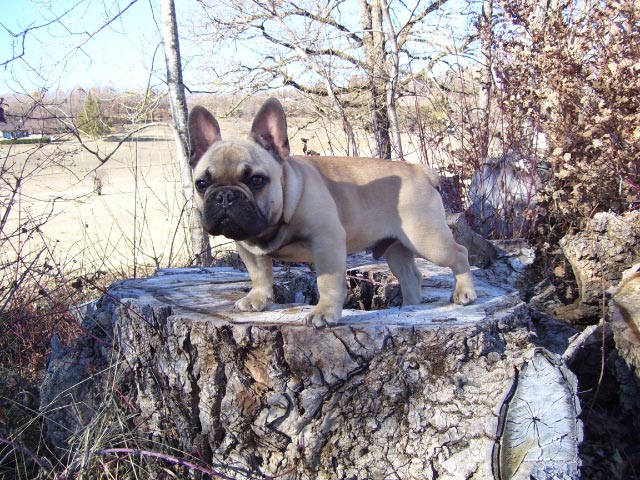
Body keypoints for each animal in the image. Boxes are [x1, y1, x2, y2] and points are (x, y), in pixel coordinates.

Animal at [186, 99, 476, 328]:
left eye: (256, 180)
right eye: (202, 184)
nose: (225, 196)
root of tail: (419, 170)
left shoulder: (326, 242)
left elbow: (327, 282)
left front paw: (324, 313)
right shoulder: (248, 247)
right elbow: (259, 275)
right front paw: (258, 299)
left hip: (428, 240)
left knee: (460, 253)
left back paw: (464, 293)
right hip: (396, 247)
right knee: (410, 274)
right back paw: (410, 307)